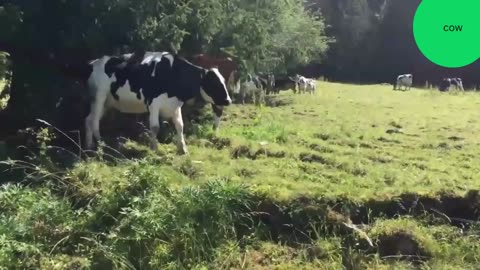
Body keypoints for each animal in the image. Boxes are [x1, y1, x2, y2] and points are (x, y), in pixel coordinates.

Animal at [85, 51, 232, 155]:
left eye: (224, 81)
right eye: (214, 83)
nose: (228, 100)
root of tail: (94, 63)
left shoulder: (175, 105)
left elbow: (180, 125)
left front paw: (182, 148)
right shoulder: (153, 103)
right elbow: (155, 127)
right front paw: (154, 148)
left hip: (106, 102)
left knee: (89, 119)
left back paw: (89, 145)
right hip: (99, 97)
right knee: (95, 121)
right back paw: (101, 143)